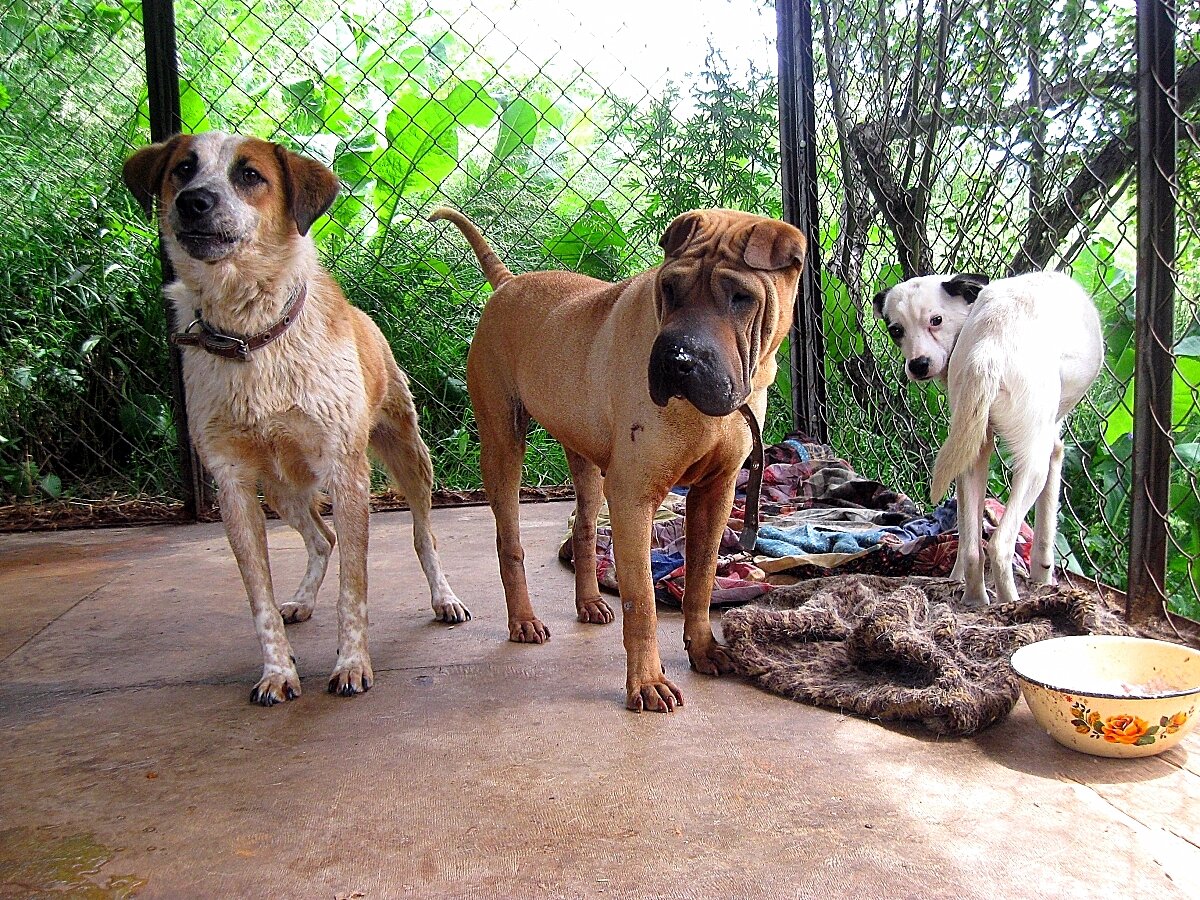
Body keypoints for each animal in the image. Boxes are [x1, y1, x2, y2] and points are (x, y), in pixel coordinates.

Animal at [125, 133, 468, 710]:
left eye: (250, 175)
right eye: (182, 169)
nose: (193, 202)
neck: (251, 337)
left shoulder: (348, 474)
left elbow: (354, 589)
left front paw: (352, 665)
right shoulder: (233, 486)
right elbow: (259, 599)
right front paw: (277, 671)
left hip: (410, 459)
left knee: (424, 537)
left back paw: (445, 598)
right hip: (282, 490)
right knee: (321, 539)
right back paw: (302, 601)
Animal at [432, 207, 806, 715]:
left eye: (740, 297)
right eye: (669, 288)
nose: (678, 359)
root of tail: (508, 284)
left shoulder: (717, 491)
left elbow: (703, 577)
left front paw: (704, 647)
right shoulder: (633, 497)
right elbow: (642, 600)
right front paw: (647, 682)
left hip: (586, 462)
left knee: (584, 529)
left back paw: (589, 601)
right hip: (503, 444)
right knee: (510, 542)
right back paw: (524, 619)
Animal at [873, 270, 1104, 607]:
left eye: (936, 320)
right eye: (896, 330)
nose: (918, 365)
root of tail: (989, 349)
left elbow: (964, 536)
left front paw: (954, 578)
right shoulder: (1054, 449)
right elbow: (1046, 527)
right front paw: (1042, 577)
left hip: (973, 458)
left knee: (972, 550)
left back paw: (976, 600)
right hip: (1033, 466)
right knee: (999, 545)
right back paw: (1011, 605)